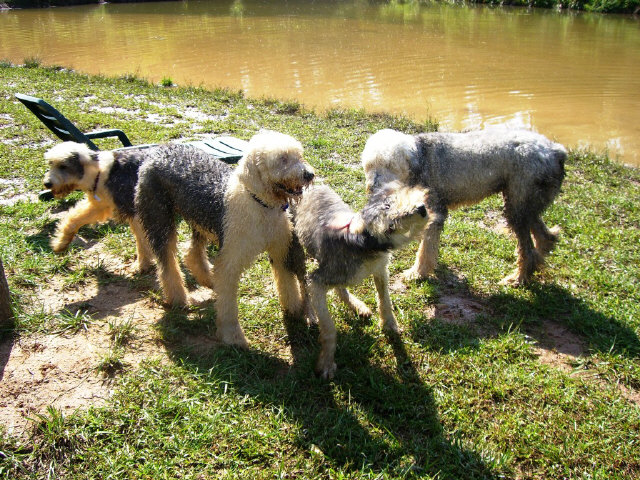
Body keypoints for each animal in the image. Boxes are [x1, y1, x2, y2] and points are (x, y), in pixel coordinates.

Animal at [290, 180, 430, 378]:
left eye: (390, 203)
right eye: (390, 226)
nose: (421, 209)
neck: (363, 245)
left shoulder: (380, 269)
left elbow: (385, 300)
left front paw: (389, 325)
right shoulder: (317, 282)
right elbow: (329, 328)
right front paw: (326, 363)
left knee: (340, 288)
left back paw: (357, 306)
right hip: (296, 249)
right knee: (302, 281)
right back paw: (310, 314)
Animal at [362, 127, 568, 284]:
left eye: (390, 165)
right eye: (369, 165)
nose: (373, 187)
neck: (420, 157)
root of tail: (556, 150)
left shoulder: (435, 211)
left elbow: (426, 248)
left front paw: (418, 273)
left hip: (518, 205)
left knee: (527, 249)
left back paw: (518, 278)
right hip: (524, 202)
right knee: (544, 236)